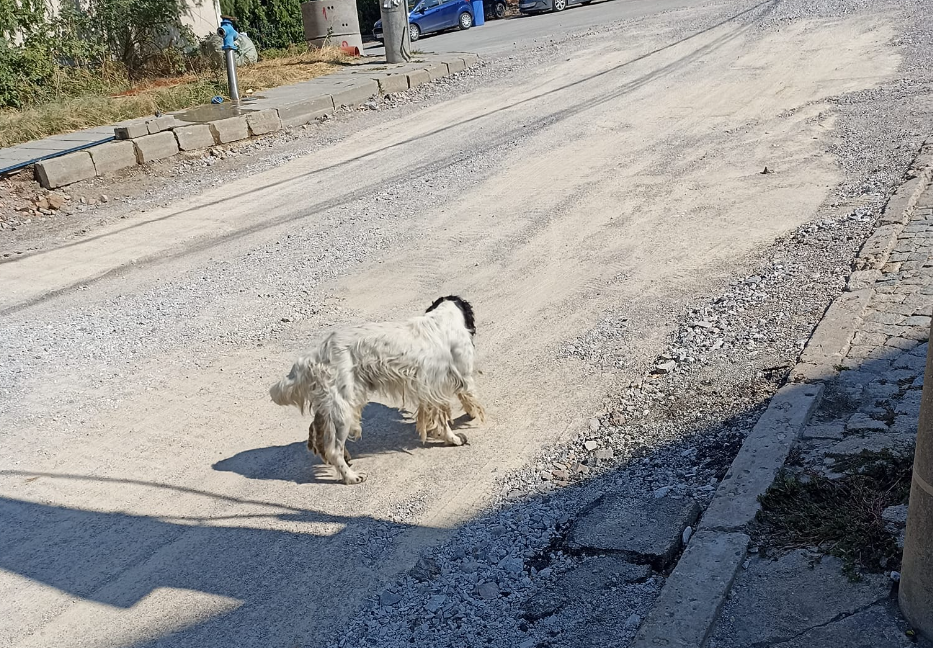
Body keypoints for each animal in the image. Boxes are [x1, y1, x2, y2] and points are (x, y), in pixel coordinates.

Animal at [268, 296, 484, 484]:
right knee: (333, 449)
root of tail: (313, 356)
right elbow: (459, 408)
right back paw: (351, 477)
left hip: (333, 404)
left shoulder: (430, 390)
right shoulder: (450, 382)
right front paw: (455, 437)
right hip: (343, 411)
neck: (442, 319)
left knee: (318, 433)